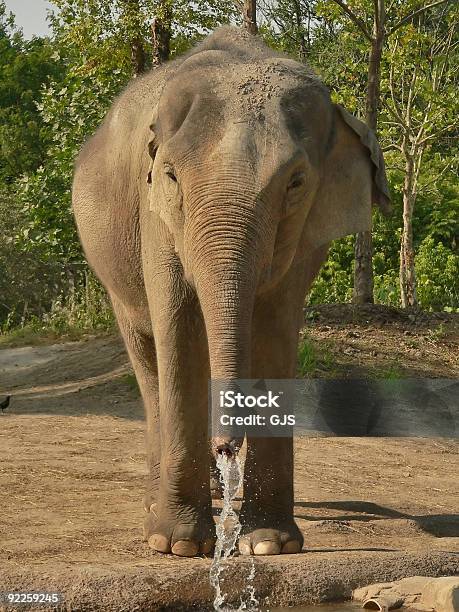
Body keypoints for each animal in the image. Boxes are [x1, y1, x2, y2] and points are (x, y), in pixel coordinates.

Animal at [73, 26, 390, 556]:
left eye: (296, 182)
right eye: (172, 175)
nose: (226, 446)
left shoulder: (306, 234)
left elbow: (275, 333)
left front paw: (268, 545)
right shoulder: (155, 215)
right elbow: (179, 328)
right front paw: (179, 545)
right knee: (148, 360)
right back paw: (156, 507)